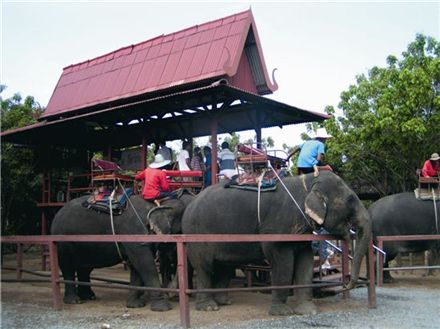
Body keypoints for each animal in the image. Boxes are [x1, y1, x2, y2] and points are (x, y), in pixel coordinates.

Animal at [50, 191, 193, 308]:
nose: (172, 294)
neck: (158, 203)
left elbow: (137, 265)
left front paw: (135, 305)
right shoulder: (133, 231)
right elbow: (144, 263)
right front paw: (162, 307)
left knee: (85, 267)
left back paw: (89, 297)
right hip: (62, 241)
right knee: (67, 266)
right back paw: (74, 301)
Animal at [181, 170, 372, 314]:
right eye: (350, 200)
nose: (347, 284)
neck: (308, 182)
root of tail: (190, 204)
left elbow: (305, 262)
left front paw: (308, 311)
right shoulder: (276, 229)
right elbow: (283, 264)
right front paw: (282, 312)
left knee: (225, 267)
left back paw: (224, 302)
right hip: (196, 234)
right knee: (204, 267)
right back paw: (209, 307)